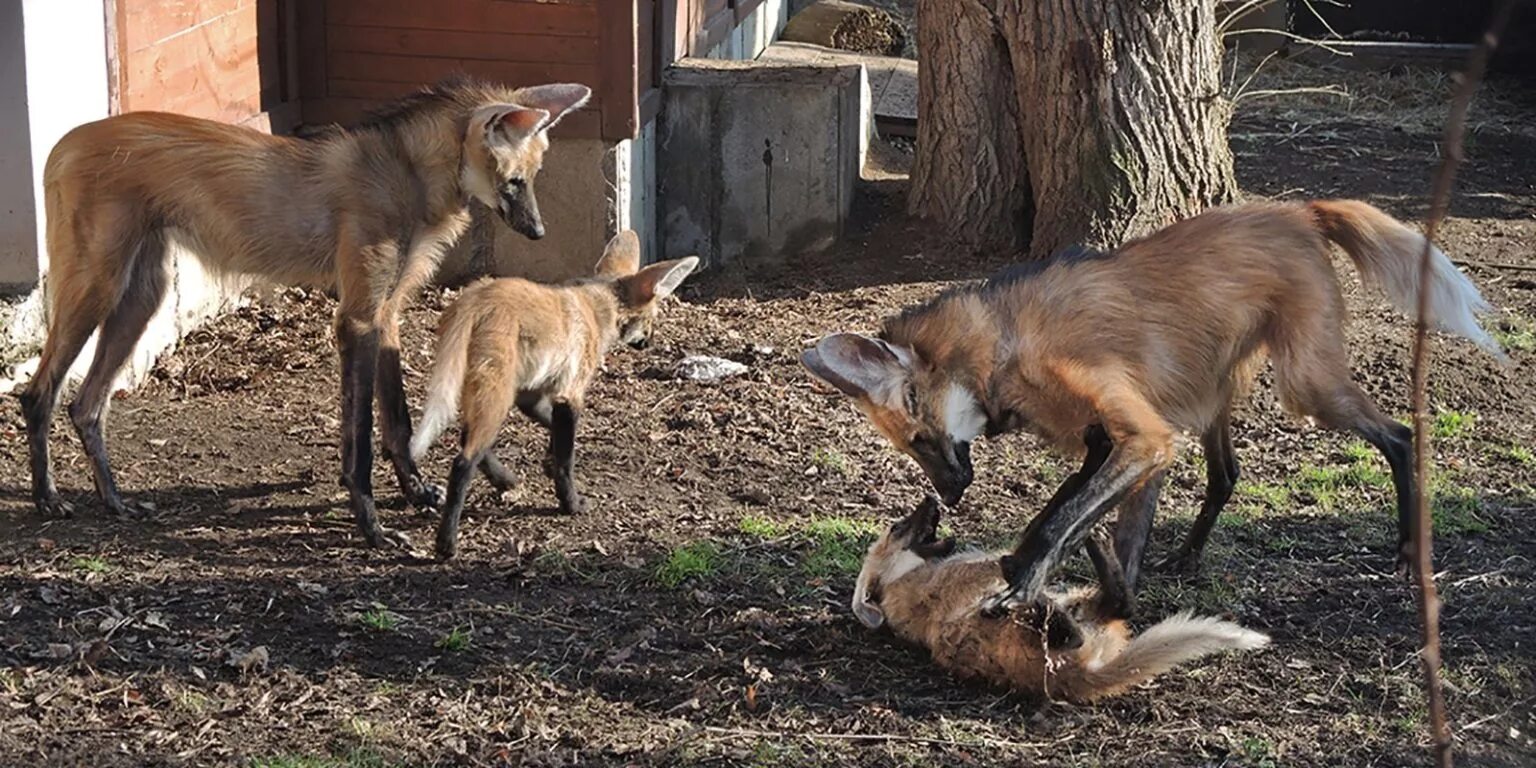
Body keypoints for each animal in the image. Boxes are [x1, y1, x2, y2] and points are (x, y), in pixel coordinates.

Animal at [19, 76, 592, 546]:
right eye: (515, 180)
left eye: (533, 177)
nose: (538, 231)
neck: (408, 174)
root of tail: (64, 141)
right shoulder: (357, 316)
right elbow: (360, 436)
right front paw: (372, 526)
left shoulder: (386, 311)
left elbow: (398, 418)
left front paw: (415, 491)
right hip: (99, 289)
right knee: (39, 392)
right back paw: (48, 498)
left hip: (141, 299)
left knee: (86, 405)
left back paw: (114, 501)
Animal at [405, 227, 700, 559]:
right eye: (651, 319)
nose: (649, 342)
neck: (598, 308)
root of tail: (474, 299)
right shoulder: (568, 394)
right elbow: (565, 458)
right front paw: (571, 503)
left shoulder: (531, 392)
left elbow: (554, 430)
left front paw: (547, 461)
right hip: (496, 390)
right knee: (462, 461)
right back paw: (447, 543)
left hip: (480, 384)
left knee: (467, 439)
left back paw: (503, 479)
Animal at [804, 198, 1499, 611]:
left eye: (920, 440)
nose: (948, 496)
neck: (998, 347)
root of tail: (1297, 209)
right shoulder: (1108, 439)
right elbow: (1064, 513)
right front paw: (1051, 576)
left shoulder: (1139, 436)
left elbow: (1063, 517)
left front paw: (1027, 585)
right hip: (1209, 386)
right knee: (1227, 473)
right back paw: (1185, 558)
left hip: (1306, 386)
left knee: (1400, 435)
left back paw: (1408, 554)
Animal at [854, 488, 1271, 703]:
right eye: (897, 526)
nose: (932, 498)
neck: (899, 579)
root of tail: (1079, 676)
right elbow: (1016, 555)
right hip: (1035, 629)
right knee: (1089, 620)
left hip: (1080, 600)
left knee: (1117, 604)